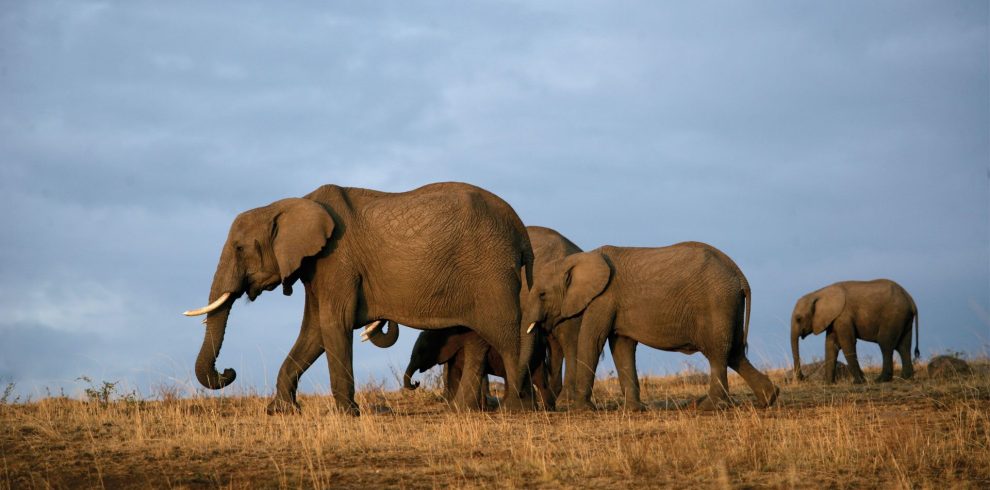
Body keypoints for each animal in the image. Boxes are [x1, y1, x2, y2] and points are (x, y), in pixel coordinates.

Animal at [182, 182, 535, 415]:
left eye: (240, 248)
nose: (228, 372)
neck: (291, 204)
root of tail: (521, 231)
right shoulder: (317, 266)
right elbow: (313, 331)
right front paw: (280, 410)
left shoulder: (337, 260)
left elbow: (332, 324)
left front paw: (345, 413)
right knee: (477, 338)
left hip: (491, 270)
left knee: (505, 335)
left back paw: (514, 409)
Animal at [522, 241, 780, 411]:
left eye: (542, 294)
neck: (580, 258)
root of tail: (740, 275)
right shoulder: (614, 304)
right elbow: (622, 347)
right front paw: (633, 410)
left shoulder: (603, 298)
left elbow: (592, 340)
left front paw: (580, 410)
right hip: (728, 306)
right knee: (735, 352)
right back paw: (768, 398)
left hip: (717, 303)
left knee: (717, 353)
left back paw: (707, 407)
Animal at [790, 279, 919, 384]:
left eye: (799, 319)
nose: (804, 377)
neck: (818, 293)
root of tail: (911, 300)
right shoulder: (833, 319)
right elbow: (831, 345)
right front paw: (828, 384)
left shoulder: (843, 316)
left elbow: (847, 343)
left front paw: (858, 382)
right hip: (903, 318)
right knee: (904, 346)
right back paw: (906, 378)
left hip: (893, 316)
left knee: (885, 344)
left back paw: (881, 380)